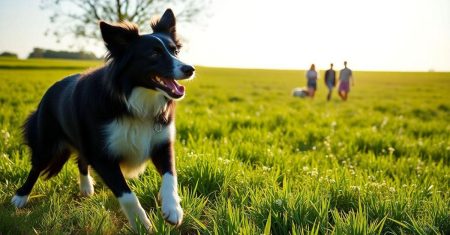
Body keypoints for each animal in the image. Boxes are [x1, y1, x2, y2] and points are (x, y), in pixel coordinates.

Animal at [11, 8, 193, 229]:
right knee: (36, 166)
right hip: (46, 142)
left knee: (81, 161)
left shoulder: (162, 144)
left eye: (175, 51)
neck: (134, 102)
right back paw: (20, 196)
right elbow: (127, 195)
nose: (190, 69)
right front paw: (141, 224)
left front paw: (173, 209)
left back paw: (86, 187)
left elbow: (170, 177)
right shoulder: (101, 155)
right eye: (153, 53)